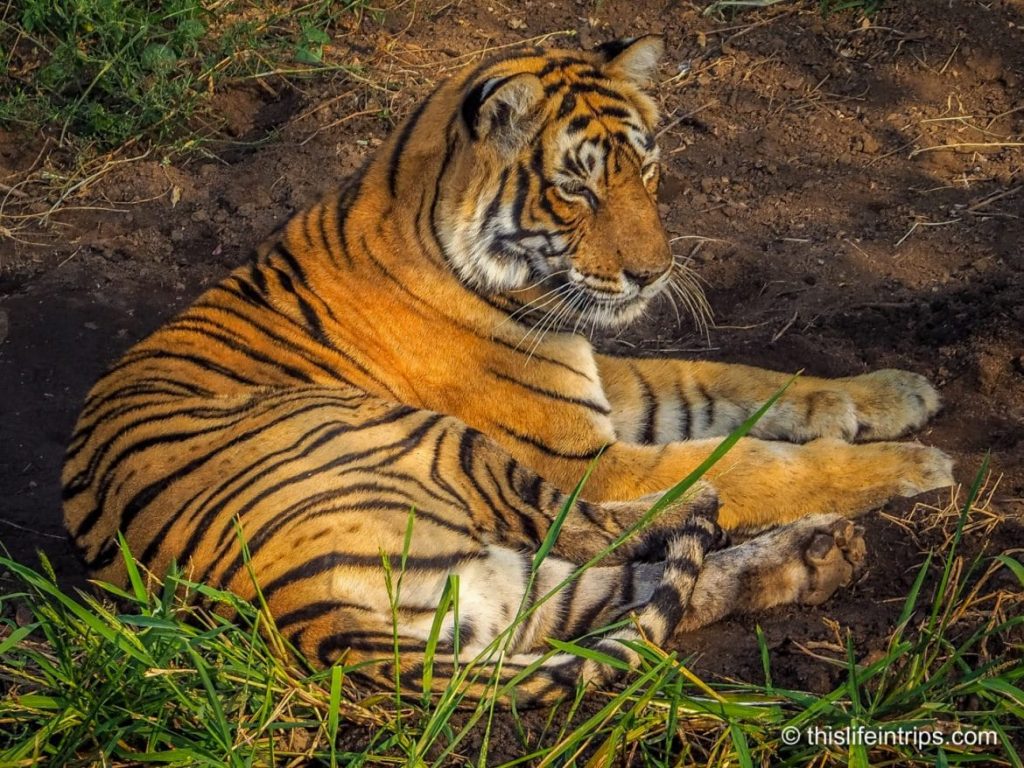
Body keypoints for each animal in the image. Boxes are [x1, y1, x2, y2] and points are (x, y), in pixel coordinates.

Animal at [62, 35, 954, 705]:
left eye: (646, 169)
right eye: (576, 189)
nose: (654, 275)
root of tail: (313, 627)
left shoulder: (598, 383)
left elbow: (724, 380)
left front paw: (893, 393)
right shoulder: (584, 450)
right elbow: (749, 458)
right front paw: (911, 462)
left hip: (502, 582)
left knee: (631, 589)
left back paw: (820, 555)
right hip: (434, 446)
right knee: (635, 519)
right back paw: (755, 522)